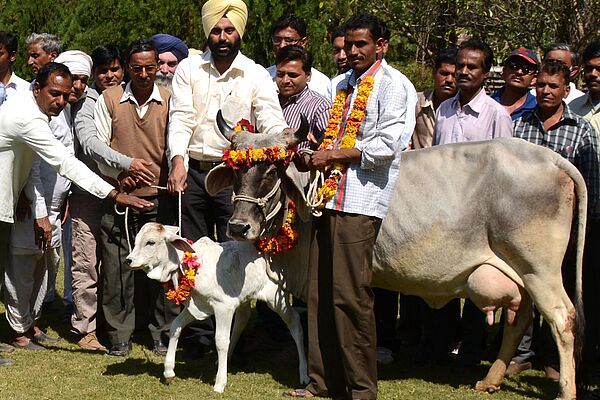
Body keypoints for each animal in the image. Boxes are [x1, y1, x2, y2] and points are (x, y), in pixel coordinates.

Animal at [122, 223, 310, 392]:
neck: (193, 265)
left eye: (151, 242)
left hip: (275, 298)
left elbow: (220, 341)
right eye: (136, 240)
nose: (128, 260)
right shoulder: (197, 306)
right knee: (242, 320)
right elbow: (176, 326)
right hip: (244, 298)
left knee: (294, 322)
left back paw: (304, 374)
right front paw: (168, 371)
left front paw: (220, 383)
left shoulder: (223, 307)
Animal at [206, 111, 584, 400]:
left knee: (562, 318)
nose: (238, 226)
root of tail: (551, 157)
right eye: (237, 171)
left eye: (272, 171)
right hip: (522, 273)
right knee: (520, 318)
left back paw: (566, 391)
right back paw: (490, 380)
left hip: (539, 269)